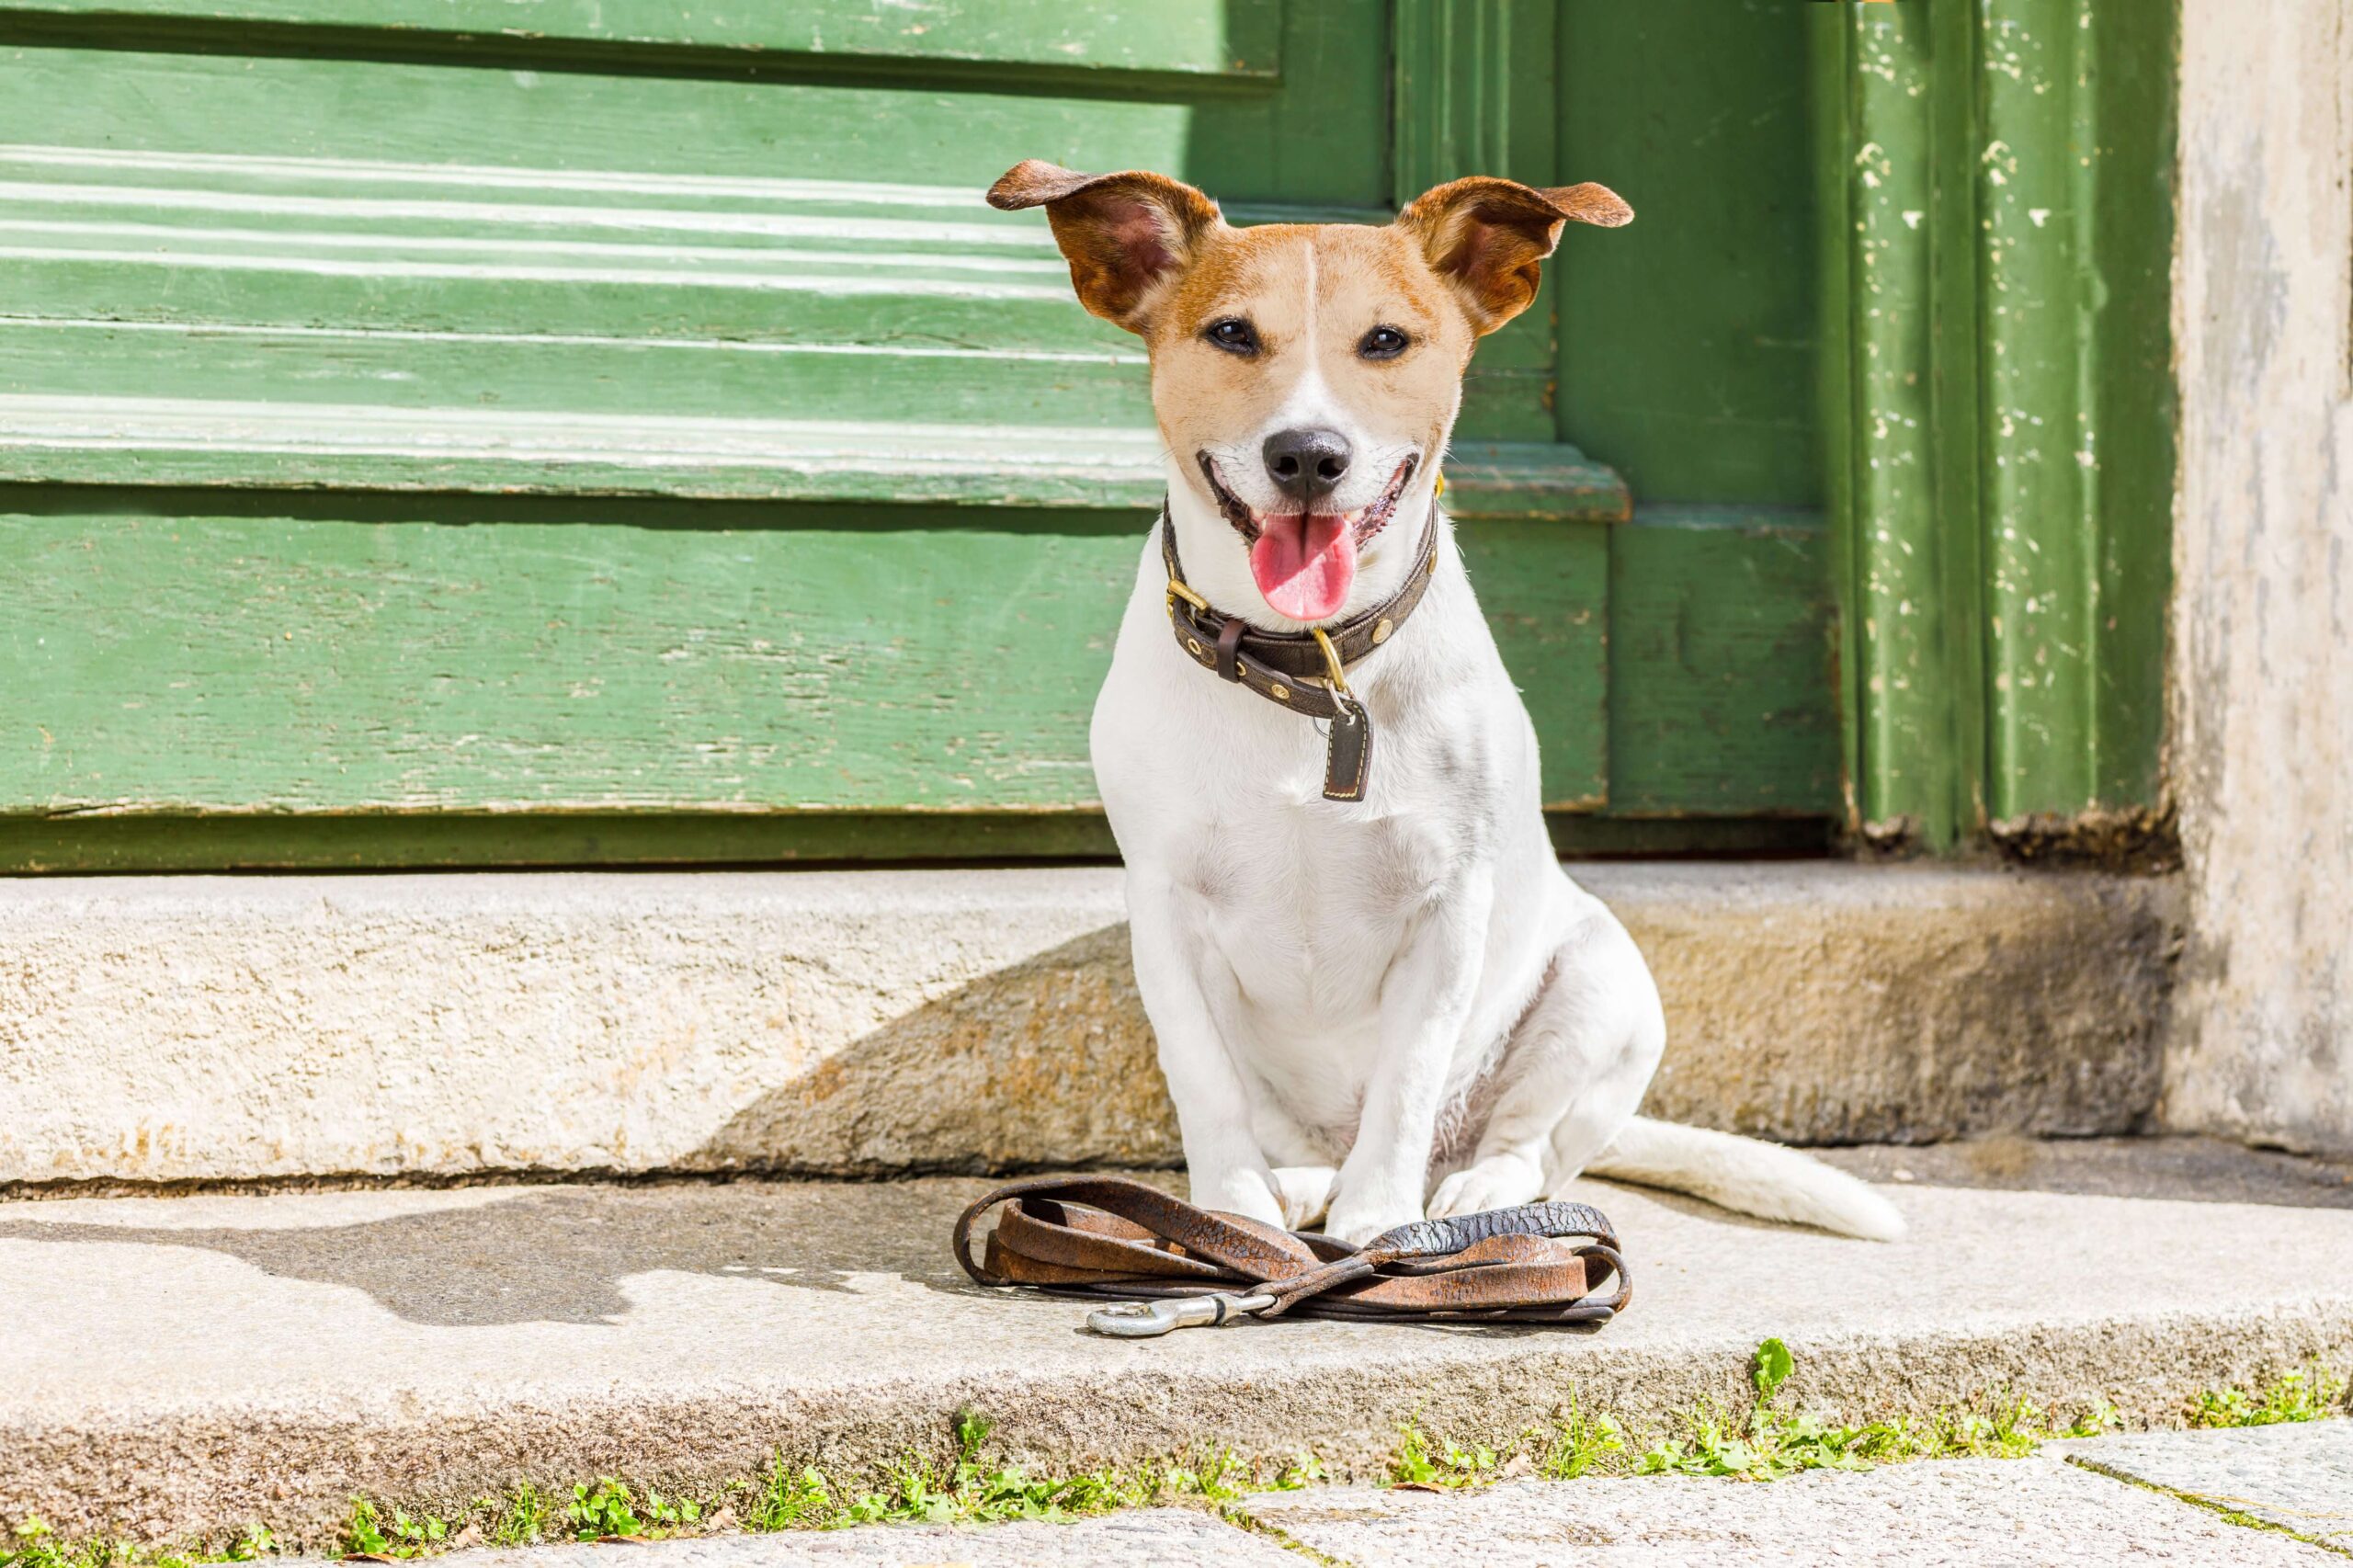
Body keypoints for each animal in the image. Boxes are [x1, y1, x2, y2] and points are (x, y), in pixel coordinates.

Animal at [983, 158, 1901, 1243]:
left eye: (1386, 340)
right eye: (1232, 334)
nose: (1309, 454)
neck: (1313, 671)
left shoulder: (1448, 907)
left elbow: (1407, 1083)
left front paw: (1379, 1227)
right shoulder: (1163, 909)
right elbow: (1205, 1084)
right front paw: (1231, 1216)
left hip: (1602, 984)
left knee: (1529, 1143)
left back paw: (1471, 1196)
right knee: (1296, 1135)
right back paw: (1302, 1188)